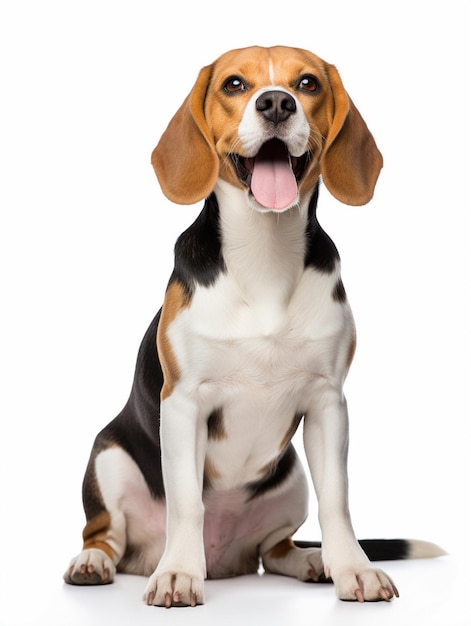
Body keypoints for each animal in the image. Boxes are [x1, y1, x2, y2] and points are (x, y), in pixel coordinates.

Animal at [64, 47, 444, 604]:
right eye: (234, 84)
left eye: (307, 83)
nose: (277, 103)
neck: (263, 251)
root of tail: (225, 559)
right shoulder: (184, 402)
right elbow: (187, 502)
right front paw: (179, 574)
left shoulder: (328, 402)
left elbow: (338, 502)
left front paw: (354, 569)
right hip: (108, 458)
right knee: (105, 533)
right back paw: (97, 562)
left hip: (291, 479)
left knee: (276, 550)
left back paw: (313, 561)